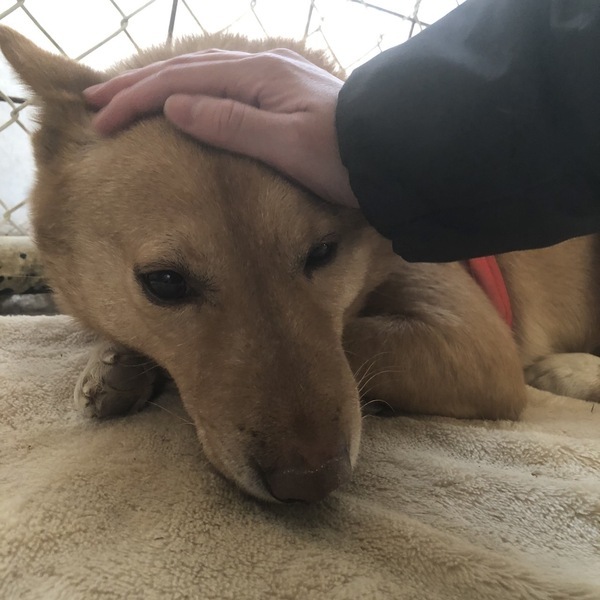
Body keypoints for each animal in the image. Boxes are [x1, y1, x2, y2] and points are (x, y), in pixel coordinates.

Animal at [2, 26, 599, 503]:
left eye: (324, 252)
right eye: (165, 283)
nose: (311, 483)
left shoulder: (475, 344)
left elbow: (359, 337)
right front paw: (115, 362)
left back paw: (571, 371)